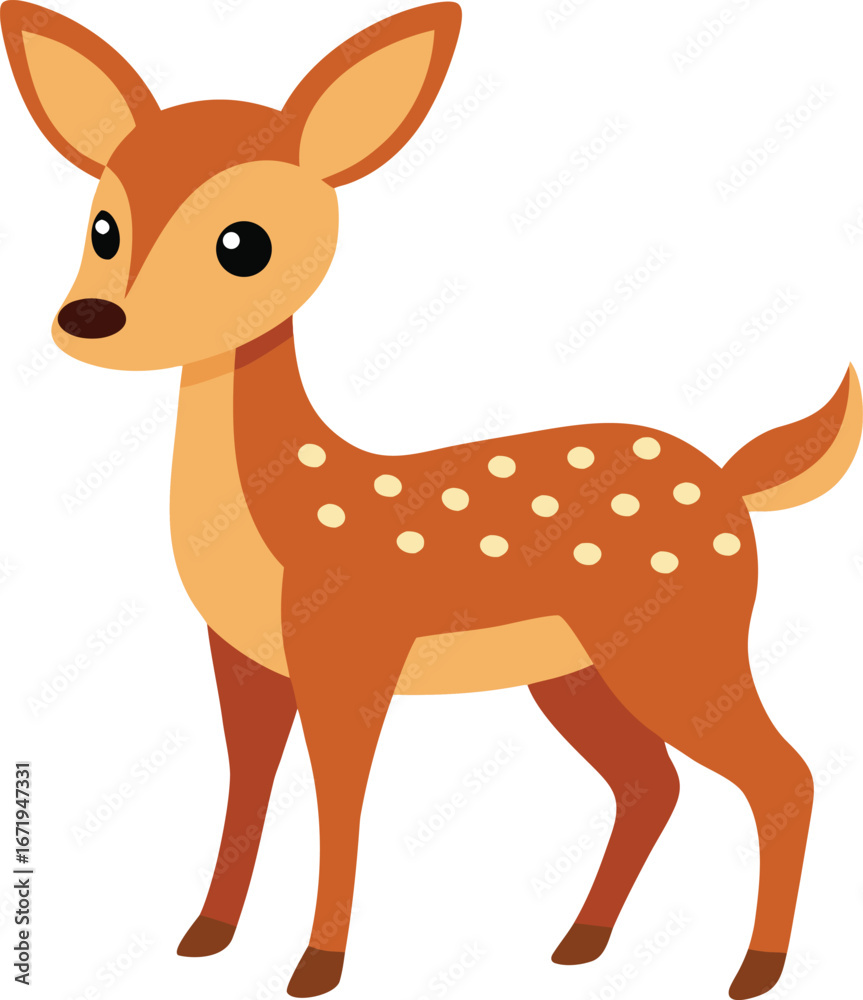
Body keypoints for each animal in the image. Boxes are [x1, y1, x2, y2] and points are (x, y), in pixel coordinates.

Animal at [2, 1, 860, 997]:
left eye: (242, 243)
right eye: (102, 225)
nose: (90, 320)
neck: (280, 515)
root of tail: (730, 480)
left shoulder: (350, 647)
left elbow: (341, 797)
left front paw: (316, 965)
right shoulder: (242, 656)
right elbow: (246, 783)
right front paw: (205, 936)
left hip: (682, 638)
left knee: (782, 774)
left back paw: (752, 970)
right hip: (575, 669)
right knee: (651, 784)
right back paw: (581, 943)